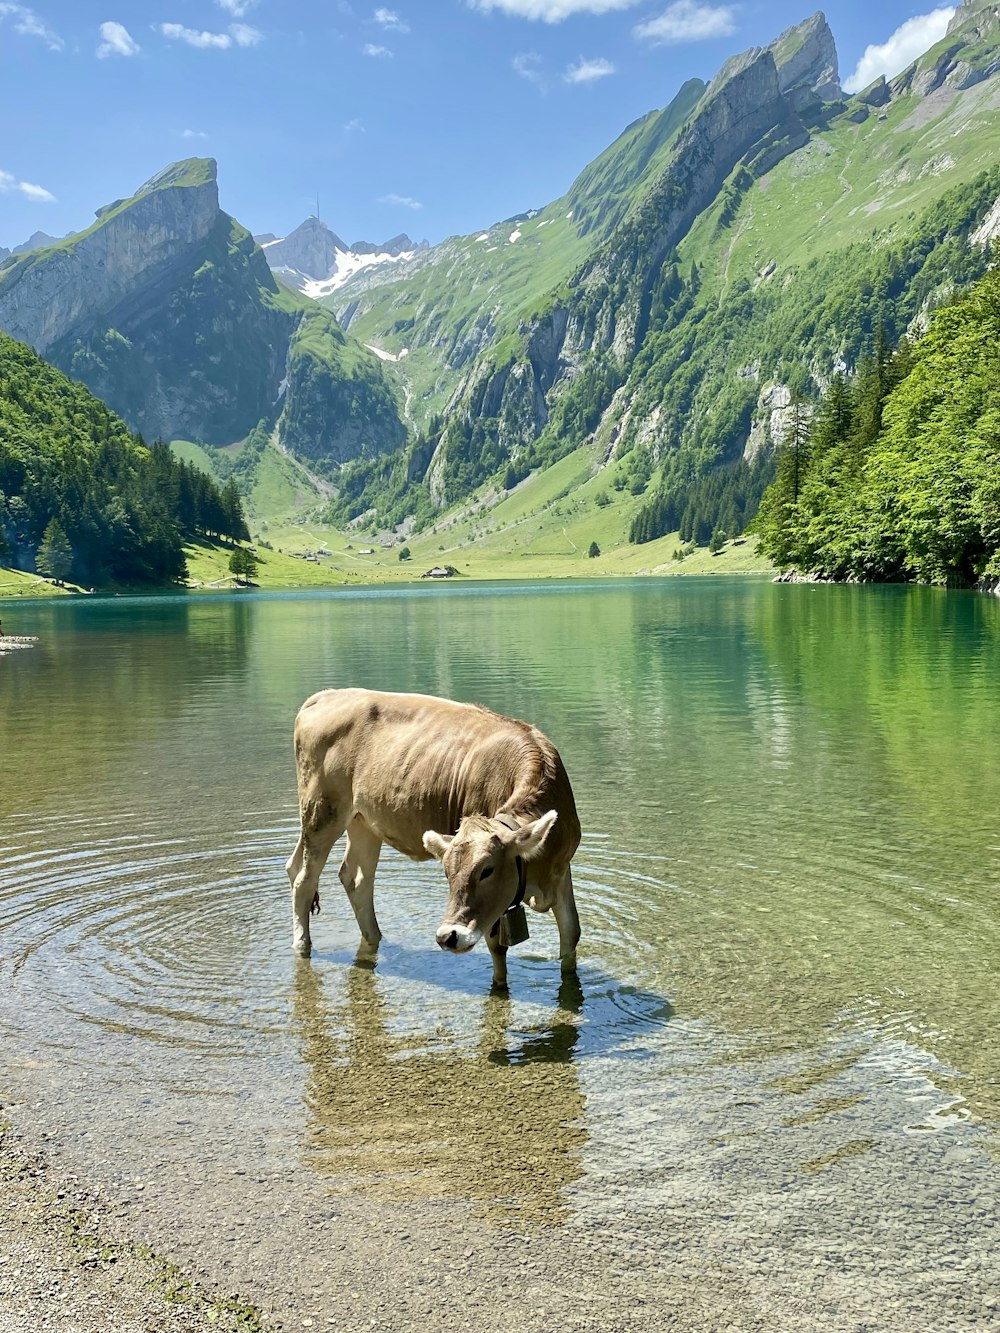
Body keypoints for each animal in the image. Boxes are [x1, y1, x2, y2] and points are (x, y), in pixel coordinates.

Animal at [285, 693, 584, 986]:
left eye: (487, 870)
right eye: (447, 873)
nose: (447, 936)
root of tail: (325, 696)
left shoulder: (562, 869)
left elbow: (571, 935)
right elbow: (497, 951)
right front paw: (499, 988)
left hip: (363, 821)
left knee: (354, 877)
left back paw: (374, 937)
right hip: (321, 811)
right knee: (304, 879)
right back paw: (302, 945)